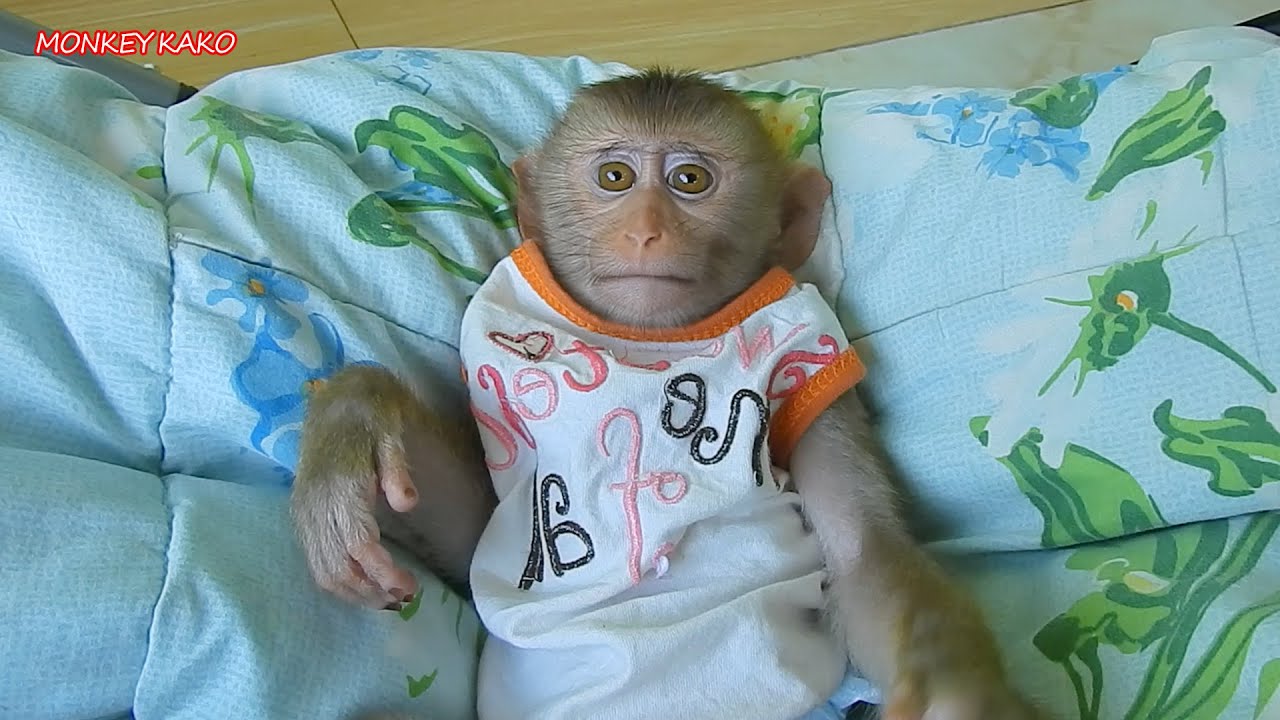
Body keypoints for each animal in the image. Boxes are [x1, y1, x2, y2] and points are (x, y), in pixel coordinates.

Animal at [292, 69, 1049, 720]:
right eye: (615, 177)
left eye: (689, 180)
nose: (647, 229)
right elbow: (470, 535)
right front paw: (352, 430)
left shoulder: (816, 363)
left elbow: (862, 545)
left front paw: (959, 688)